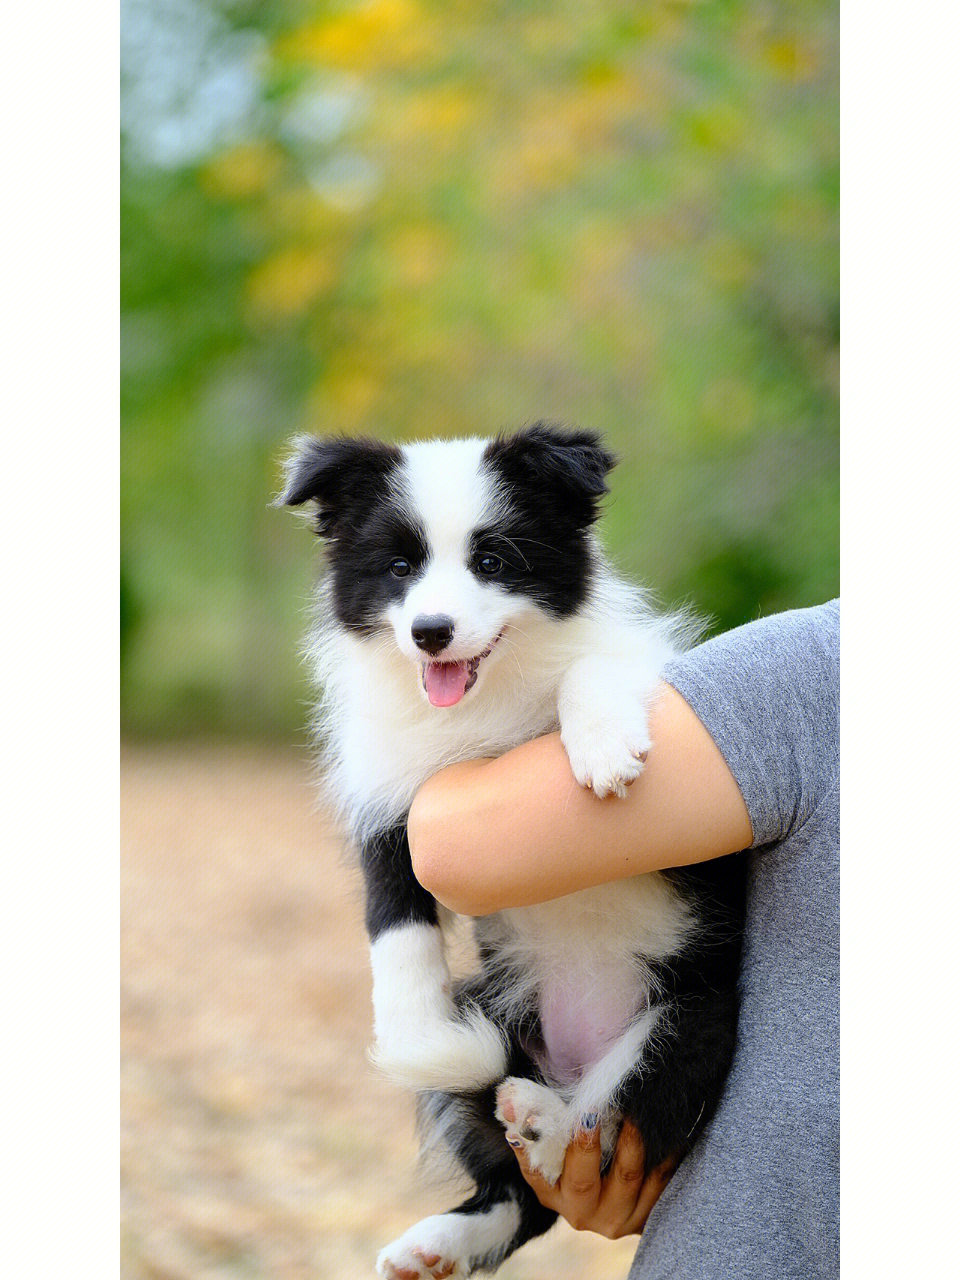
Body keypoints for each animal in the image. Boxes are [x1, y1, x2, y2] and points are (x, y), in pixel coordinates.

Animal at [277, 424, 742, 1274]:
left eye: (492, 560)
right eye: (399, 566)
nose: (430, 632)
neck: (480, 709)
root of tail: (564, 1066)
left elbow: (592, 668)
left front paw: (603, 749)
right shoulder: (395, 803)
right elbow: (395, 932)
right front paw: (419, 1035)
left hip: (691, 1019)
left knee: (599, 1126)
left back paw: (544, 1120)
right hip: (492, 1004)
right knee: (521, 1190)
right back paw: (439, 1239)